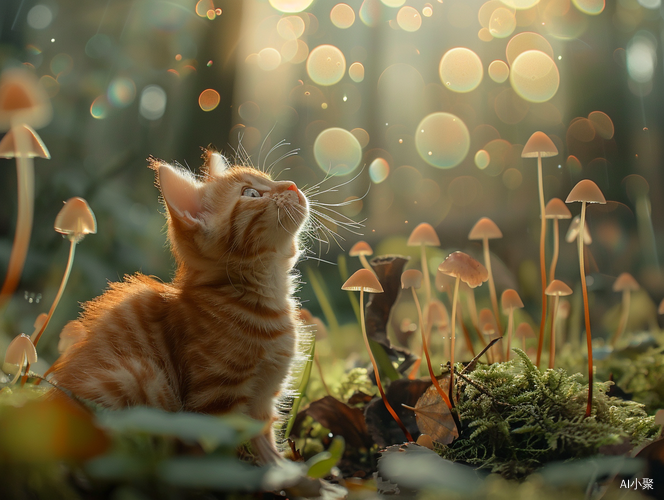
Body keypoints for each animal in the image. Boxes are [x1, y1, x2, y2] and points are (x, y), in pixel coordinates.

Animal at [50, 150, 310, 462]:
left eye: (270, 180)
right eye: (251, 193)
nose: (292, 185)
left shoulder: (263, 402)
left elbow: (267, 447)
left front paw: (284, 468)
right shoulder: (215, 402)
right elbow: (227, 456)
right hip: (139, 377)